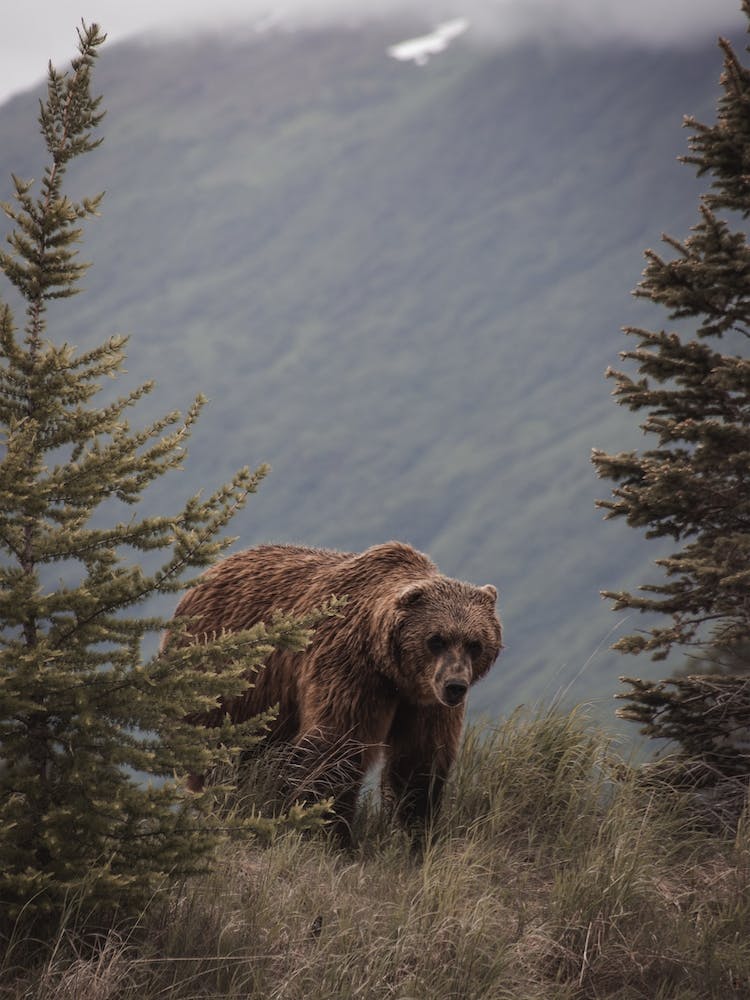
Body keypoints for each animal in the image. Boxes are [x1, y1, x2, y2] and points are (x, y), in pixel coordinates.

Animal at [163, 540, 502, 841]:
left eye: (475, 643)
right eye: (436, 639)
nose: (455, 686)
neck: (391, 670)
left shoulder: (423, 702)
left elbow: (418, 762)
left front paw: (413, 832)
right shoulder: (350, 671)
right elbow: (335, 749)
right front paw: (329, 833)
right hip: (226, 683)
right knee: (222, 754)